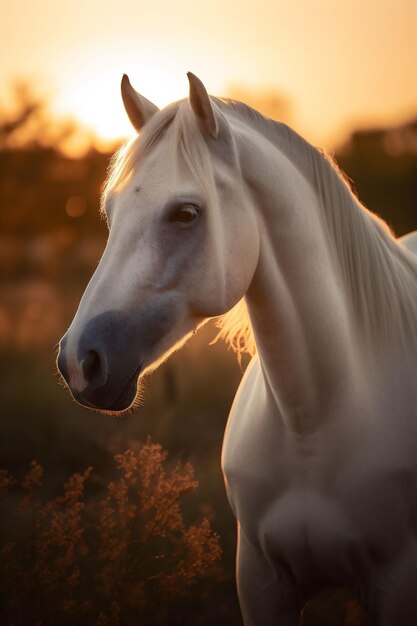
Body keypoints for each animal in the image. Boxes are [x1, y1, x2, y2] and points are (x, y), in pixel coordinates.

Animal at [57, 74, 416, 624]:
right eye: (112, 213)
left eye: (186, 213)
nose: (79, 361)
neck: (311, 422)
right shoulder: (261, 582)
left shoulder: (395, 586)